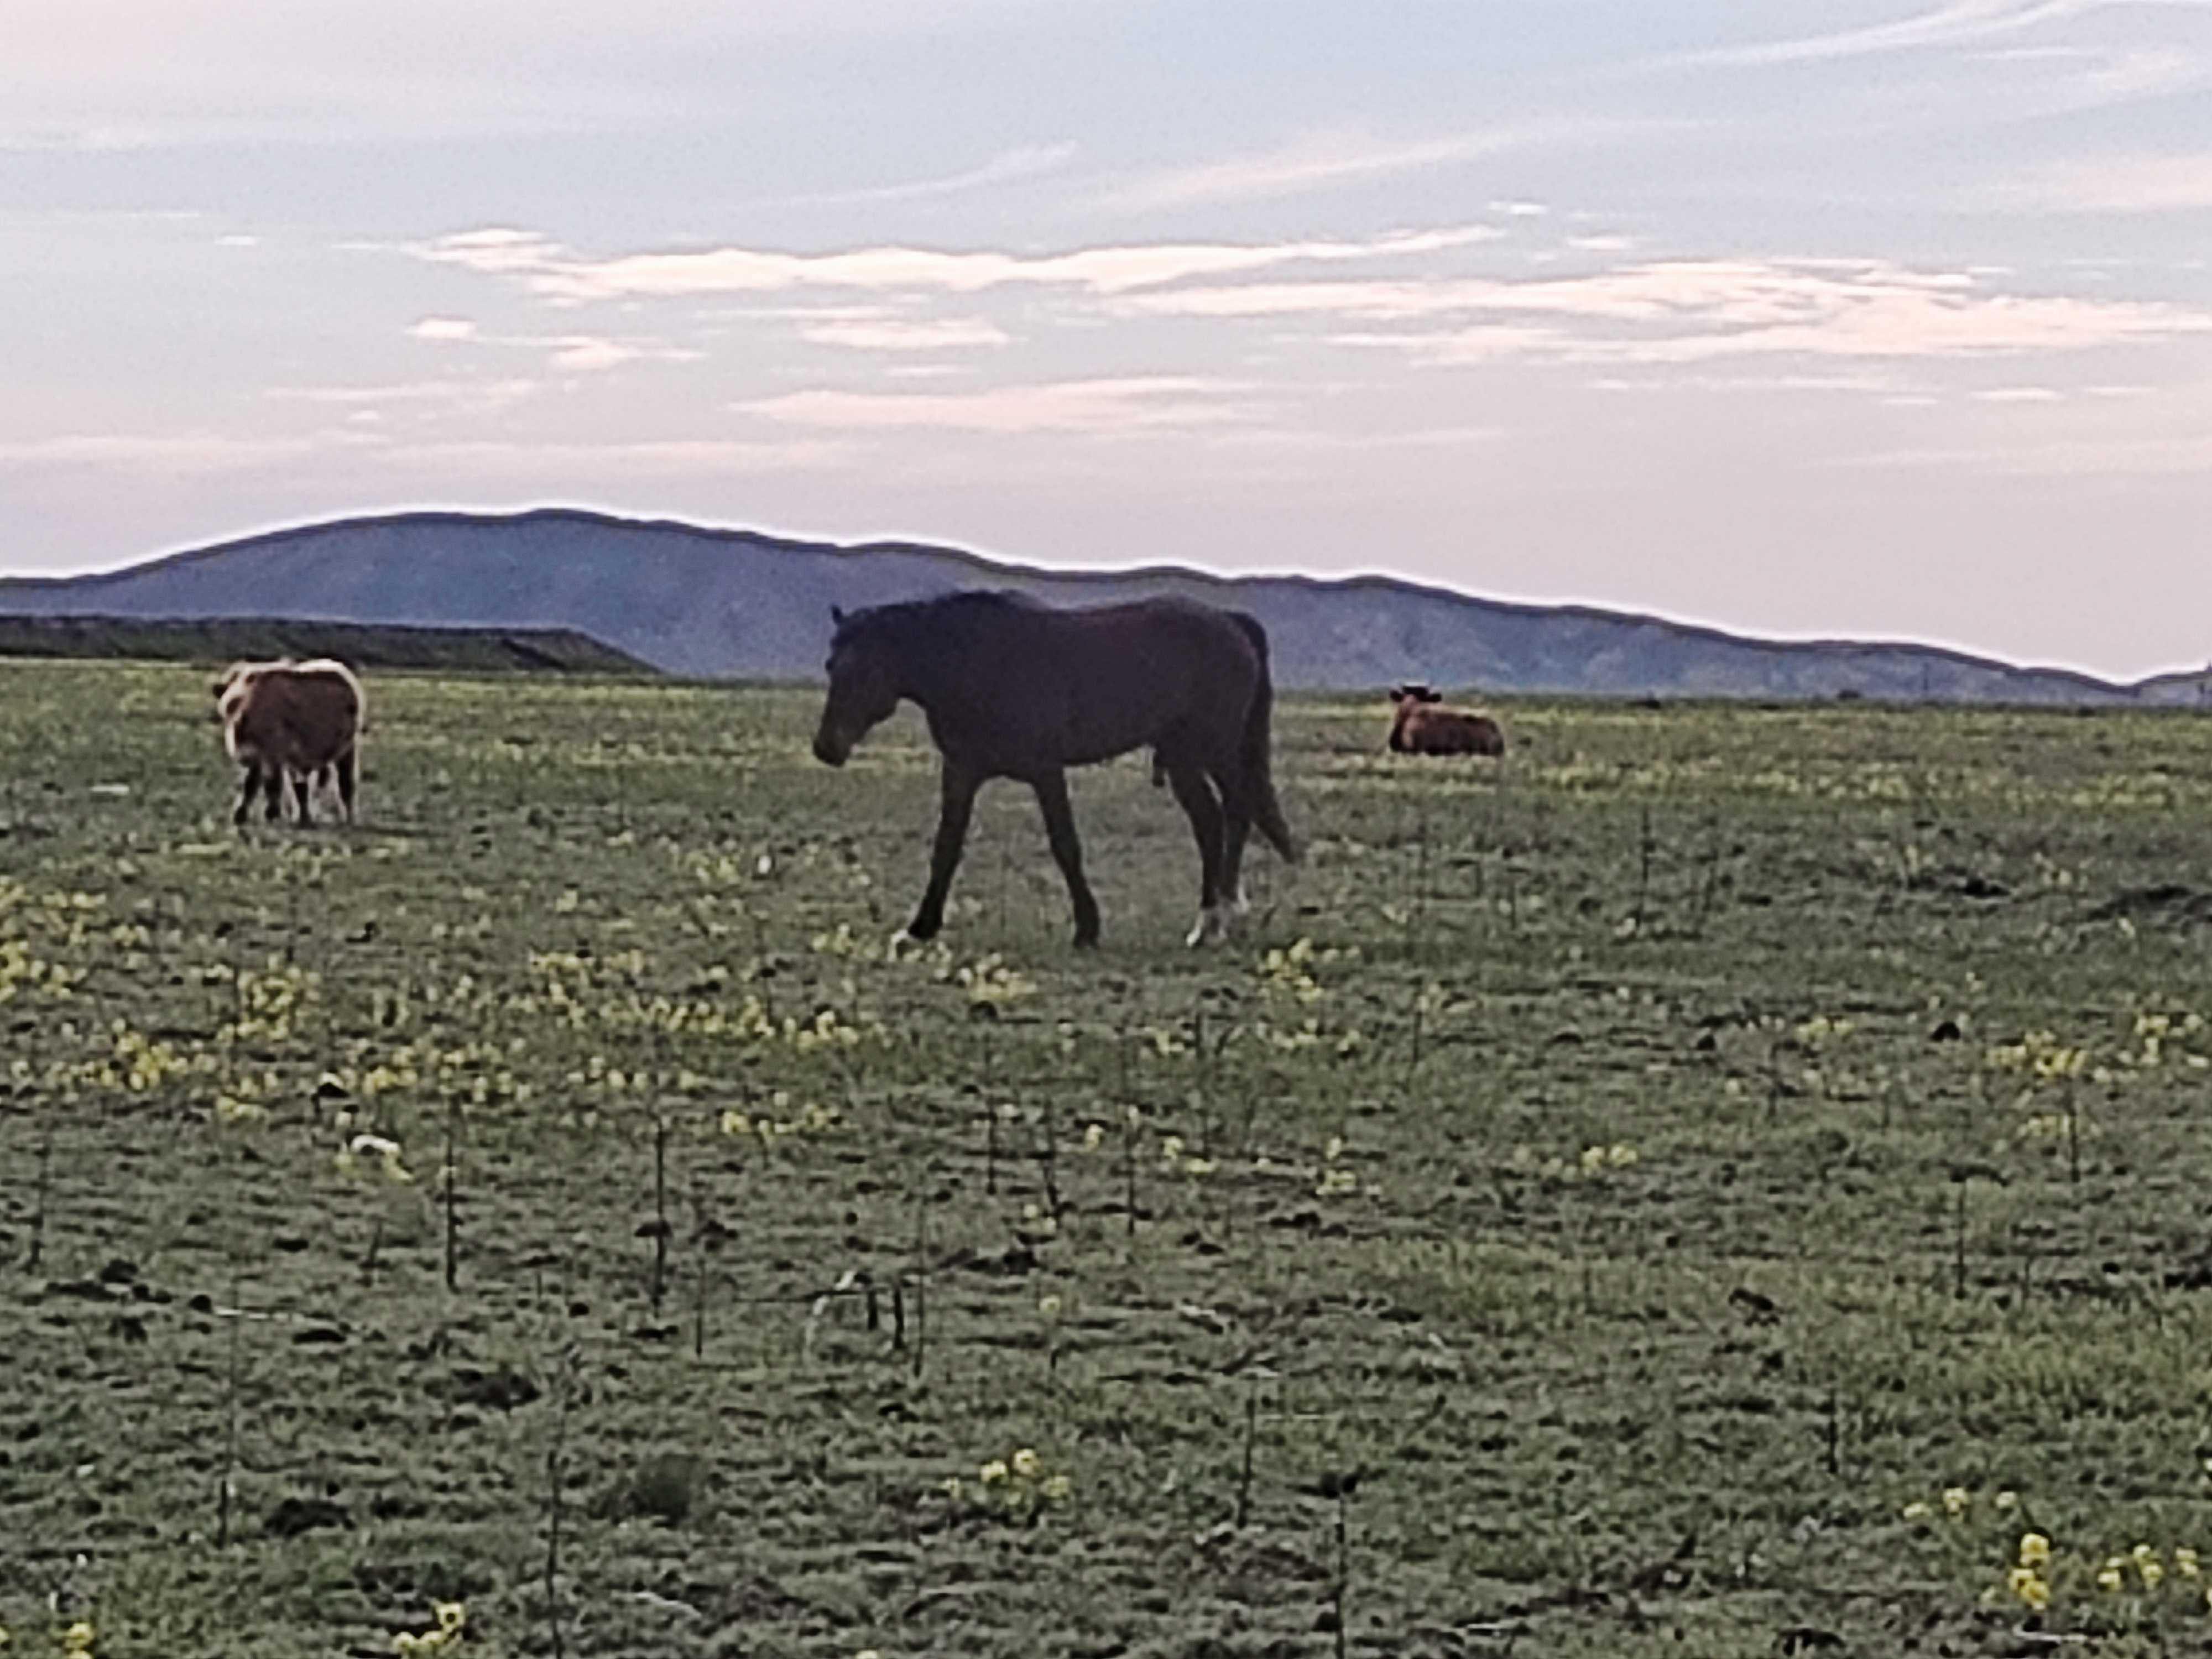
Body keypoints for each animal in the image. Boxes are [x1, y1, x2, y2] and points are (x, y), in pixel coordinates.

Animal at [212, 655, 367, 827]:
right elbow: (250, 786)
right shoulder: (259, 757)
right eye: (228, 707)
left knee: (345, 784)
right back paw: (304, 818)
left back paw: (349, 818)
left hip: (347, 750)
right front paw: (240, 815)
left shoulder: (272, 756)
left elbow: (272, 784)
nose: (237, 734)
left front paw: (272, 814)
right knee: (302, 788)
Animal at [814, 593, 1292, 947]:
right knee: (1210, 824)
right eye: (831, 665)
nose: (825, 748)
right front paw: (920, 929)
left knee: (1235, 814)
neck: (977, 663)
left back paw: (1226, 916)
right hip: (1183, 759)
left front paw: (1087, 928)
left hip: (1215, 751)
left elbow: (1065, 845)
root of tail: (1230, 622)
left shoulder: (1045, 771)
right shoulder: (962, 771)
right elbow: (946, 847)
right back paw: (1205, 925)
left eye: (863, 668)